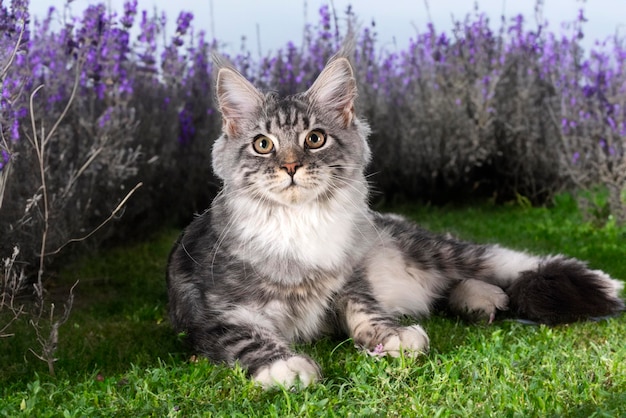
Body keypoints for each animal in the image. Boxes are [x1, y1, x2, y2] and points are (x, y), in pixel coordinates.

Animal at [163, 52, 620, 388]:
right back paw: (481, 300)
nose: (291, 167)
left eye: (315, 138)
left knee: (501, 260)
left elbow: (366, 312)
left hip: (433, 249)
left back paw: (603, 283)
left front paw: (394, 337)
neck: (301, 221)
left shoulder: (350, 282)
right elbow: (248, 338)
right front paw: (286, 366)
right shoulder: (215, 314)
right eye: (263, 144)